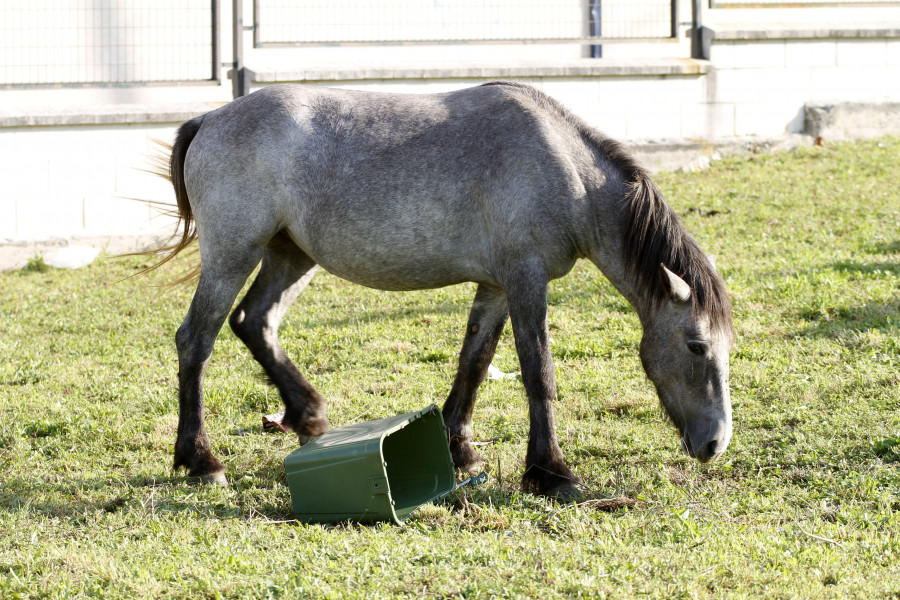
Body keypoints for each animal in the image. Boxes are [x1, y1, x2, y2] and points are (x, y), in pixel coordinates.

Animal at [160, 82, 732, 500]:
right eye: (696, 346)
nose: (715, 443)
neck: (565, 167)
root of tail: (210, 119)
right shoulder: (525, 278)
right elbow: (538, 373)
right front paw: (551, 472)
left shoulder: (496, 285)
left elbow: (474, 362)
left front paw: (460, 449)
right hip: (234, 254)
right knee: (196, 340)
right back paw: (201, 460)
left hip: (291, 255)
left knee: (255, 321)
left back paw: (309, 416)